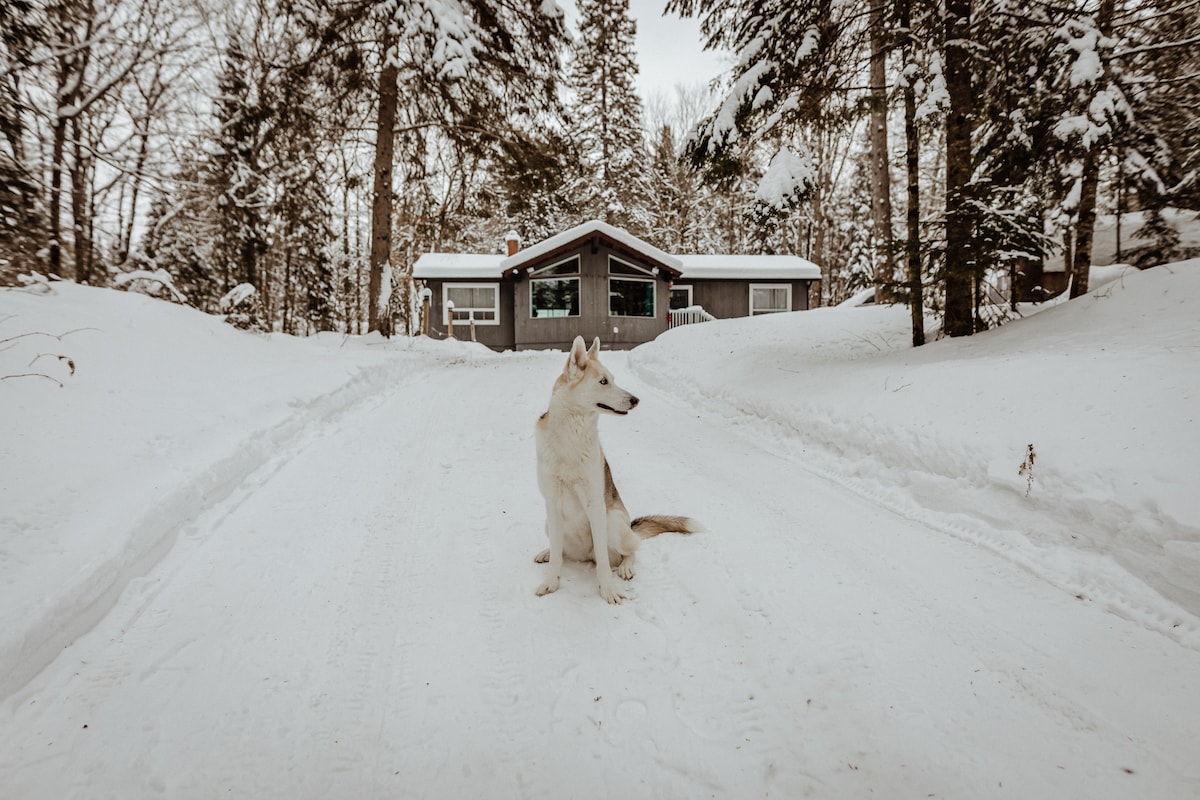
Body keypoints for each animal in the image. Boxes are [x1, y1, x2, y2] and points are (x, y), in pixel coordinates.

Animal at [537, 335, 700, 604]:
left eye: (612, 379)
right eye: (603, 381)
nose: (635, 400)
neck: (571, 436)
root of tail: (585, 556)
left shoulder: (595, 504)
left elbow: (604, 564)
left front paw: (608, 590)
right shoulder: (552, 502)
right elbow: (558, 559)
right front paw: (551, 581)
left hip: (612, 521)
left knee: (630, 550)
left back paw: (625, 567)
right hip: (549, 524)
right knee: (562, 550)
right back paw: (547, 552)